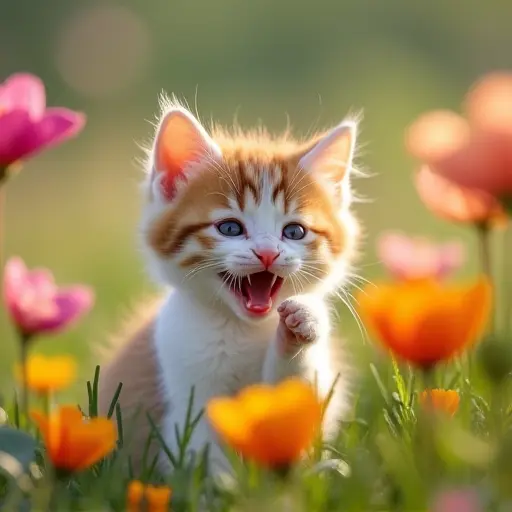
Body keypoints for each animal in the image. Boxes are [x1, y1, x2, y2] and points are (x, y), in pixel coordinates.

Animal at [97, 97, 360, 476]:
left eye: (294, 232)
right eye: (231, 228)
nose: (267, 253)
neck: (242, 328)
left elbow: (293, 401)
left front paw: (300, 324)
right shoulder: (185, 383)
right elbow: (200, 452)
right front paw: (223, 486)